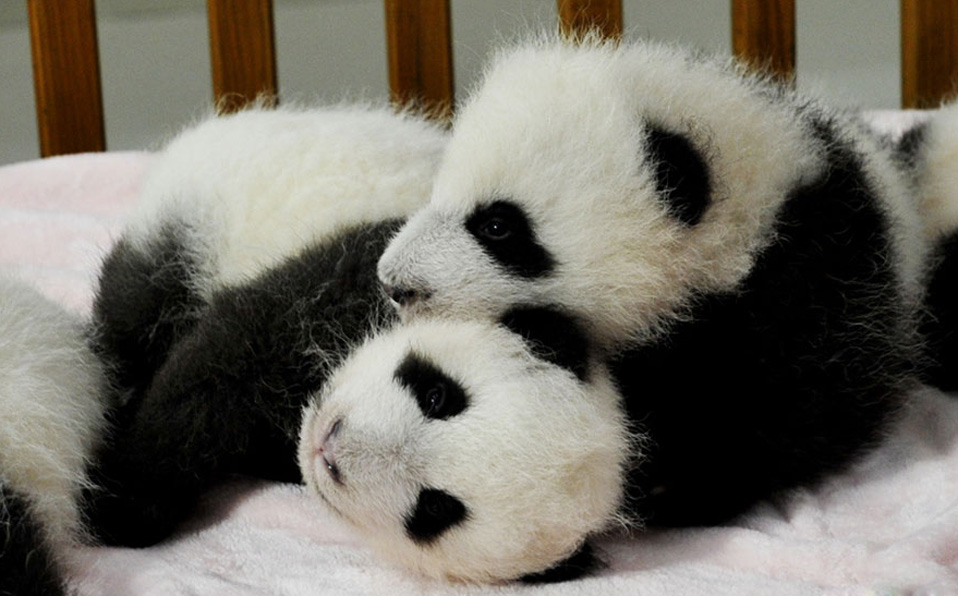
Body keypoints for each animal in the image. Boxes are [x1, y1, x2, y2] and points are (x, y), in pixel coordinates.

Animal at [87, 105, 450, 548]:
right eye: (434, 396)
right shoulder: (352, 272)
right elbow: (222, 361)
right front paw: (120, 504)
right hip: (185, 236)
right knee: (132, 319)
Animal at [378, 36, 932, 528]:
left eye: (497, 226)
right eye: (436, 192)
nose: (394, 284)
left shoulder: (815, 279)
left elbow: (796, 407)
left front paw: (682, 489)